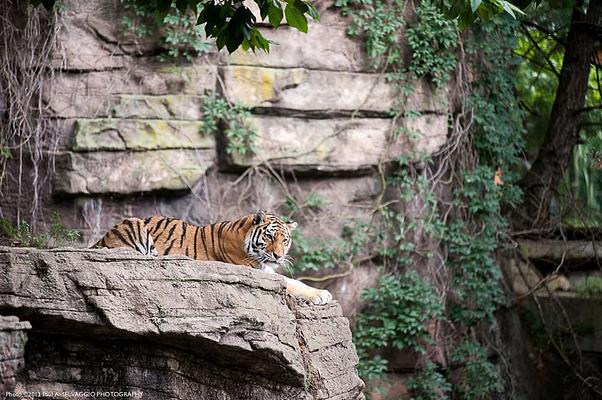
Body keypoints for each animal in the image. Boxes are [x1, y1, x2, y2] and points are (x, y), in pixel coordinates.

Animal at [96, 211, 336, 304]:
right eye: (269, 236)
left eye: (284, 240)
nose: (278, 256)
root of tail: (99, 241)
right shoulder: (254, 270)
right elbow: (291, 283)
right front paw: (321, 294)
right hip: (134, 223)